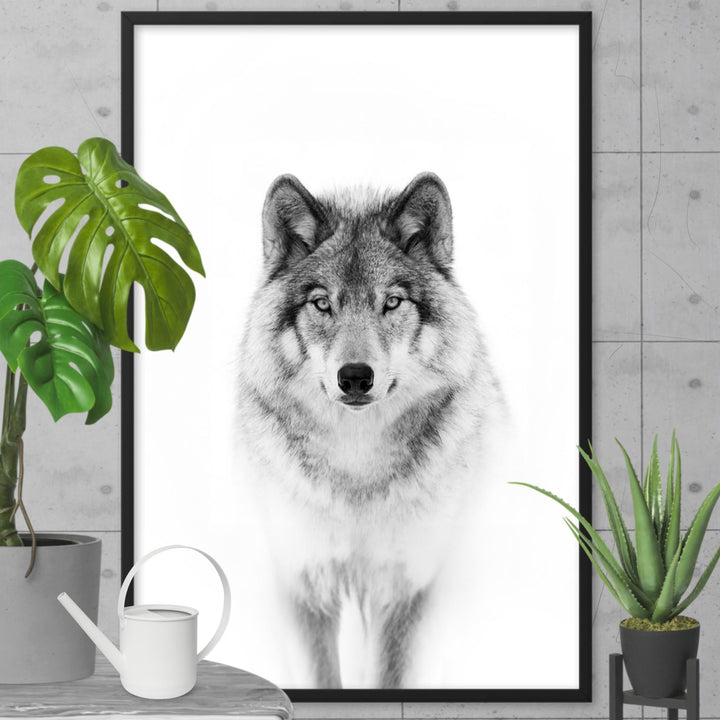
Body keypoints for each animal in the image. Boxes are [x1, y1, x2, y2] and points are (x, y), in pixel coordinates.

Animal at [236, 172, 507, 689]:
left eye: (392, 302)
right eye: (322, 304)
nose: (356, 377)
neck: (356, 467)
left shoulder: (405, 589)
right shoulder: (305, 584)